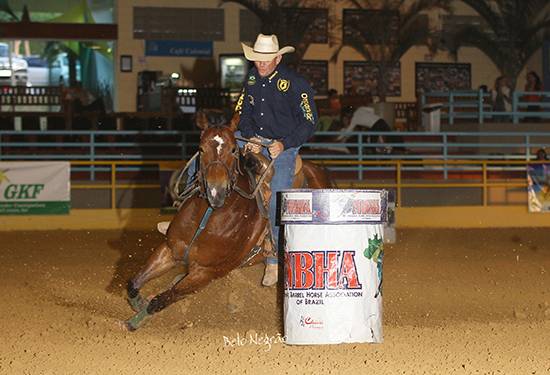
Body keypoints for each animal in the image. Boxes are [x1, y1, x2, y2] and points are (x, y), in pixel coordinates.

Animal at [125, 113, 332, 330]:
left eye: (233, 149)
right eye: (201, 148)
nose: (216, 192)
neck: (208, 216)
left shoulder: (207, 272)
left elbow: (161, 301)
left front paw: (139, 317)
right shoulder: (169, 249)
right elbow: (133, 284)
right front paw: (137, 306)